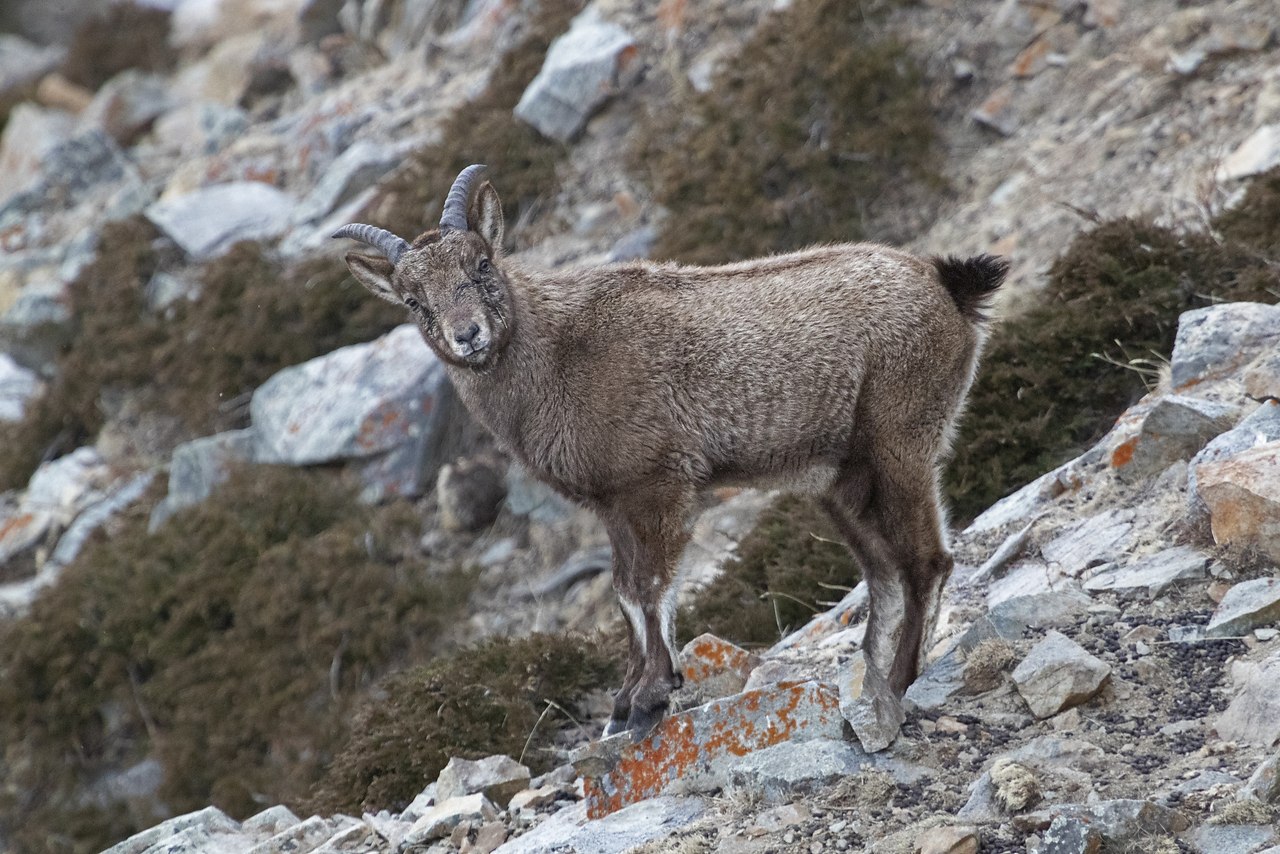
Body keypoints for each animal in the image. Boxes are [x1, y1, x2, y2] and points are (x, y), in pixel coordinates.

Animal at [333, 164, 1007, 745]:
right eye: (413, 300)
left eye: (480, 264)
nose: (467, 335)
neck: (559, 355)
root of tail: (947, 285)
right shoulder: (612, 504)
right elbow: (624, 592)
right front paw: (624, 702)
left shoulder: (656, 484)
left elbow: (650, 587)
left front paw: (650, 698)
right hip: (840, 480)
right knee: (885, 573)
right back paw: (872, 678)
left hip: (899, 441)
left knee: (926, 562)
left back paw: (899, 684)